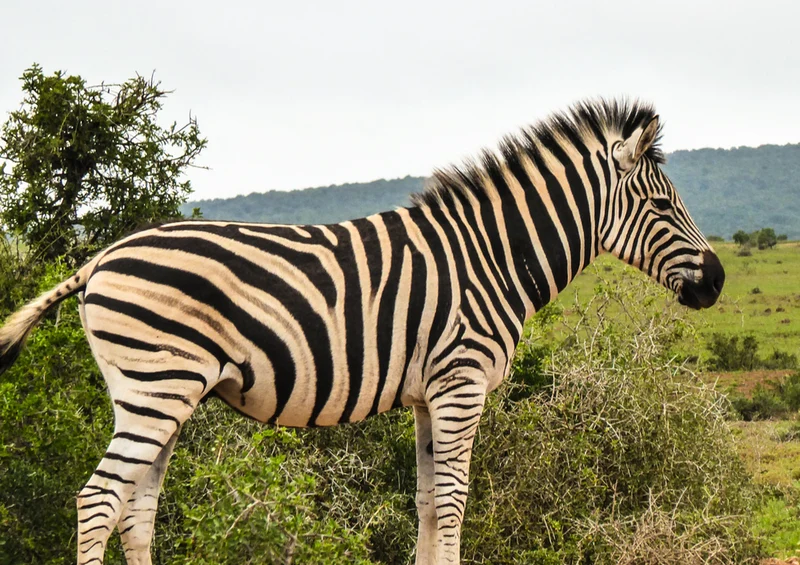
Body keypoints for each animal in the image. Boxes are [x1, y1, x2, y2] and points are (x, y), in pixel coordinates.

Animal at [0, 99, 724, 565]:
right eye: (662, 205)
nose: (716, 282)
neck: (493, 254)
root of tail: (99, 257)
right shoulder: (461, 382)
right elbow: (453, 504)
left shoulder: (431, 394)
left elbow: (429, 504)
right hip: (156, 383)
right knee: (100, 498)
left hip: (162, 391)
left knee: (136, 509)